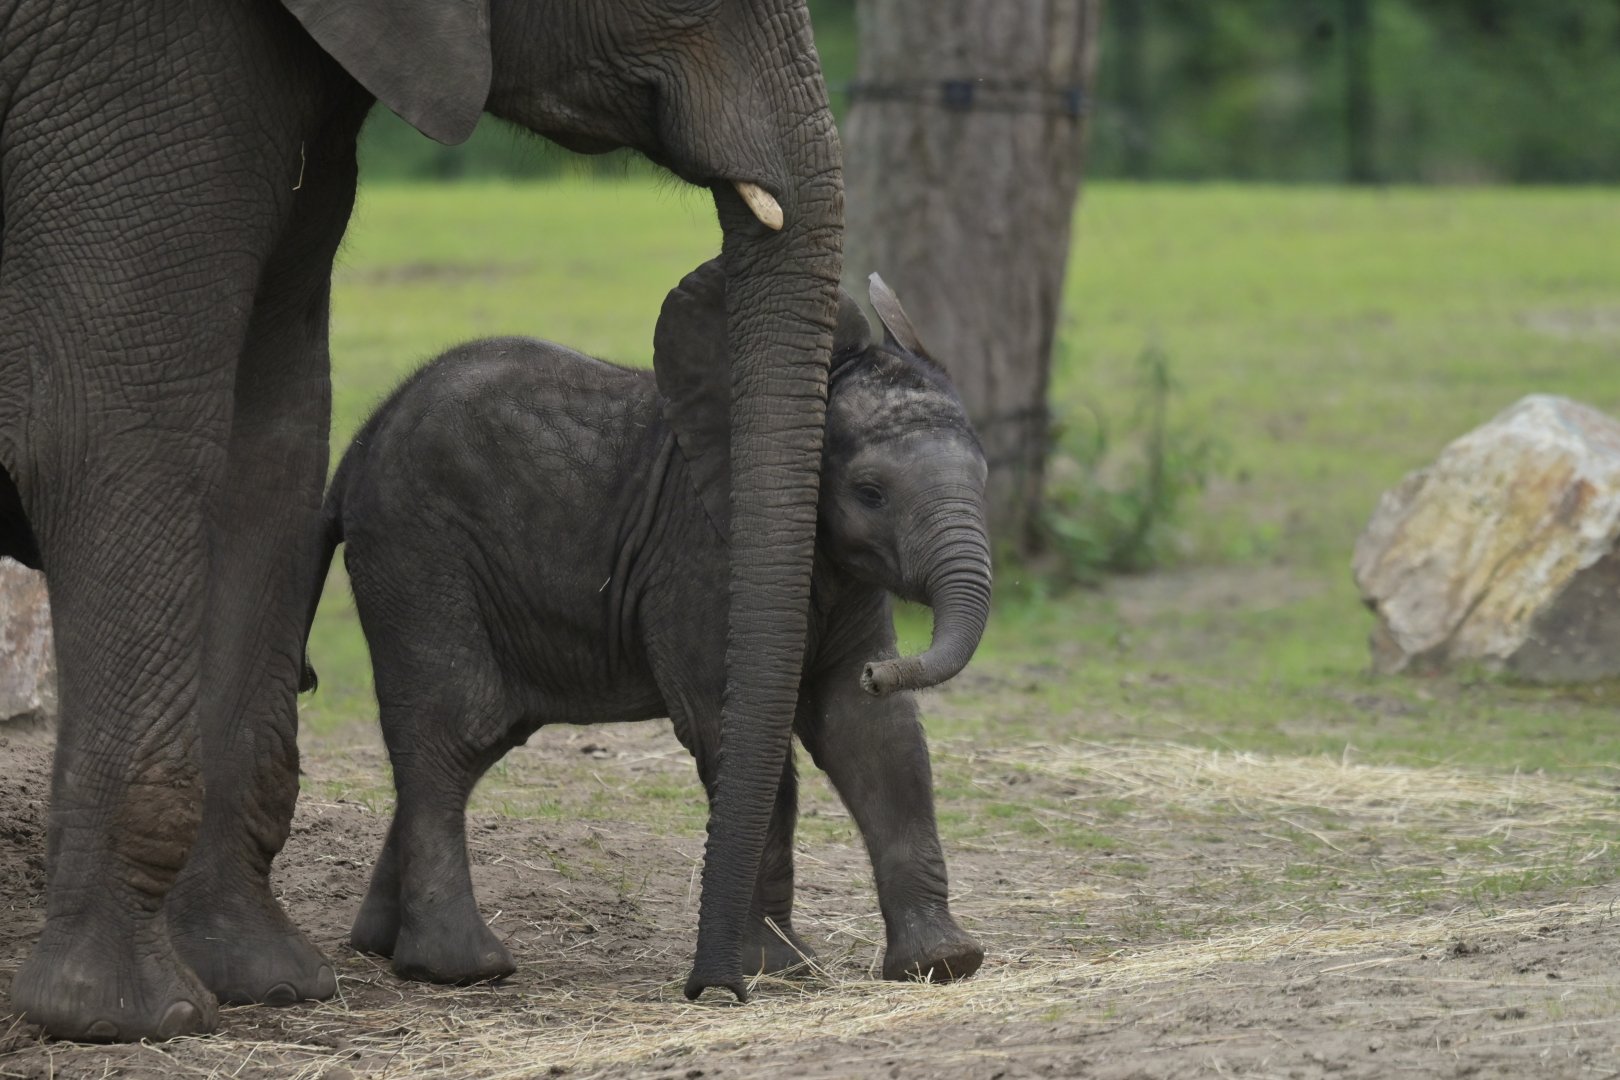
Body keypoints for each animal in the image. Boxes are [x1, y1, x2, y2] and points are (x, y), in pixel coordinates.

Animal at [0, 0, 842, 1041]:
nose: (715, 988)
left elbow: (269, 443)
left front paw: (264, 981)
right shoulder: (125, 62)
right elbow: (115, 432)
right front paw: (128, 1014)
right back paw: (462, 966)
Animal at [302, 261, 990, 988]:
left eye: (983, 475)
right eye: (870, 493)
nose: (881, 671)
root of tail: (356, 448)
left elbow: (870, 734)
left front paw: (944, 963)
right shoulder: (701, 562)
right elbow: (737, 727)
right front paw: (777, 970)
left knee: (478, 741)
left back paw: (381, 943)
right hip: (417, 553)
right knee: (458, 727)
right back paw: (464, 966)